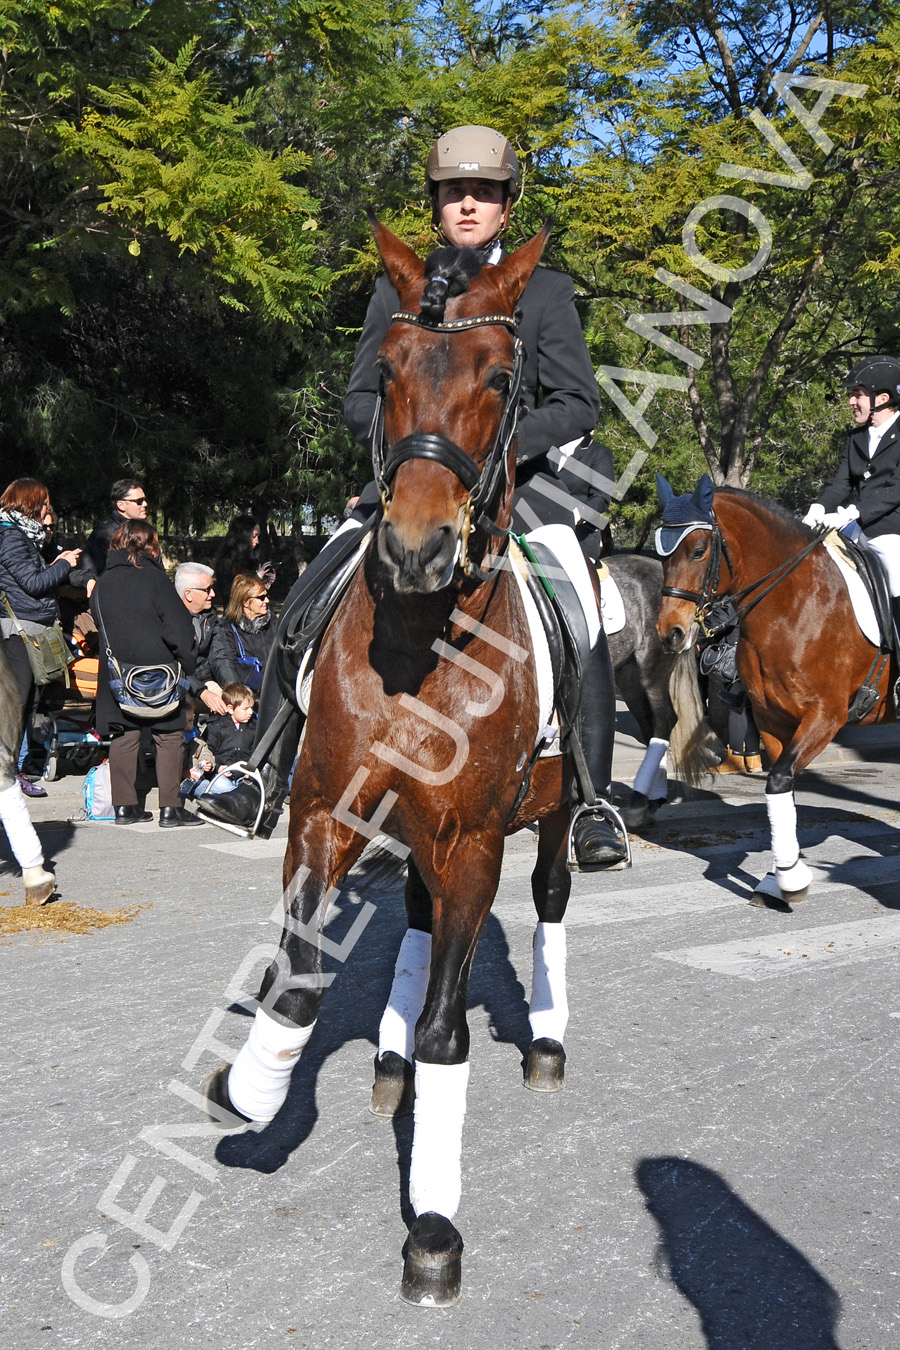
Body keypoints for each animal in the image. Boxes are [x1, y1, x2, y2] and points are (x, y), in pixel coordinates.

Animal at [206, 224, 601, 1306]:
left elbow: (447, 1030)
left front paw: (432, 1225)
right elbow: (298, 981)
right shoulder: (324, 812)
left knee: (551, 896)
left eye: (503, 376)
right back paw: (386, 1072)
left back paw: (546, 1038)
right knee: (417, 924)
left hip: (548, 822)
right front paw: (250, 1087)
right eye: (385, 373)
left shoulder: (473, 843)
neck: (422, 639)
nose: (416, 549)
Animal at [650, 475, 895, 907]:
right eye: (661, 554)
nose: (671, 633)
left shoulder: (825, 717)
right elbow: (783, 789)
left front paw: (789, 878)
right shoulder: (772, 720)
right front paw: (779, 875)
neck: (794, 603)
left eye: (698, 551)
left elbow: (778, 780)